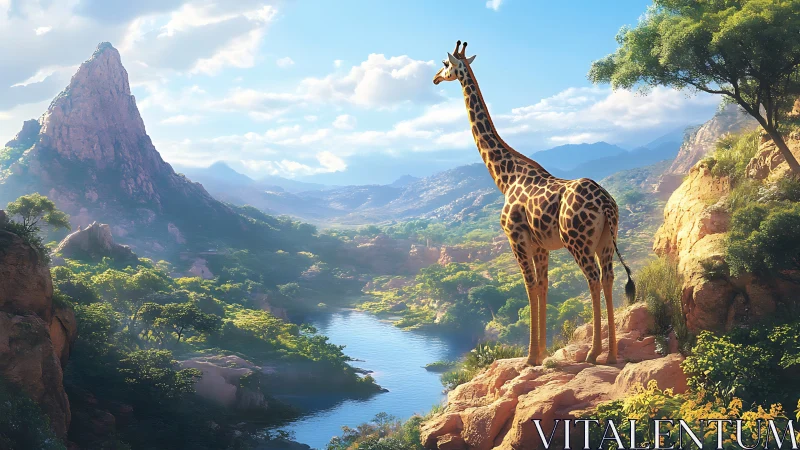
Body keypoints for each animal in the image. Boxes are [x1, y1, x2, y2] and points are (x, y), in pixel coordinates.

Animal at [433, 41, 635, 366]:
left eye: (445, 64)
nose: (435, 79)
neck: (505, 177)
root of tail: (606, 203)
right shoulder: (541, 245)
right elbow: (543, 286)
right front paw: (542, 353)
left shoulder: (516, 237)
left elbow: (529, 286)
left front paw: (530, 357)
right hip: (606, 239)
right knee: (608, 278)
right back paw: (613, 354)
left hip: (577, 241)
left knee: (592, 279)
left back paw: (593, 353)